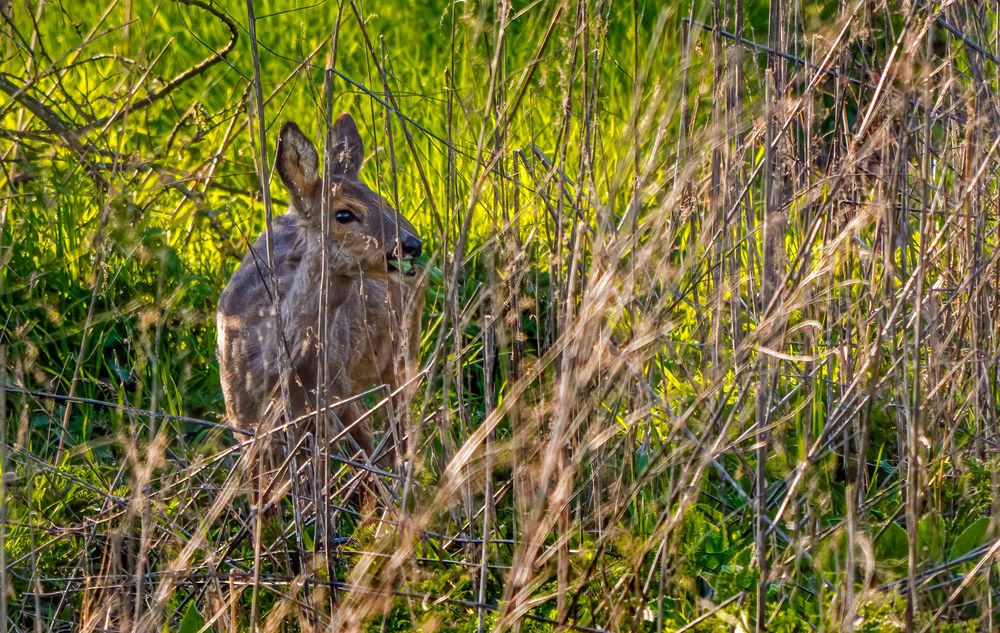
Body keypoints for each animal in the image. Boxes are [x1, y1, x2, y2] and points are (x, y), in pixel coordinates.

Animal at [217, 113, 424, 506]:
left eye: (383, 201)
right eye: (344, 214)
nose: (411, 244)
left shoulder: (329, 407)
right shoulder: (244, 425)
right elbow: (261, 504)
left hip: (399, 354)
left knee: (395, 434)